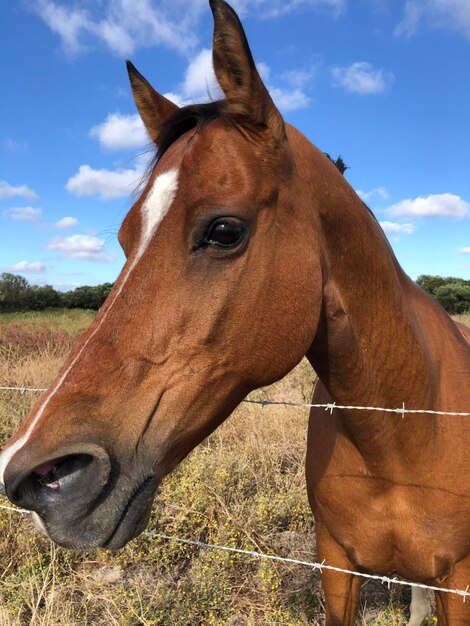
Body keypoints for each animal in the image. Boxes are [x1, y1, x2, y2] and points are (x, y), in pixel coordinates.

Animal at [0, 0, 470, 620]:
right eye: (125, 238)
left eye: (224, 230)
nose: (35, 477)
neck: (406, 428)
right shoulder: (337, 568)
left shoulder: (459, 583)